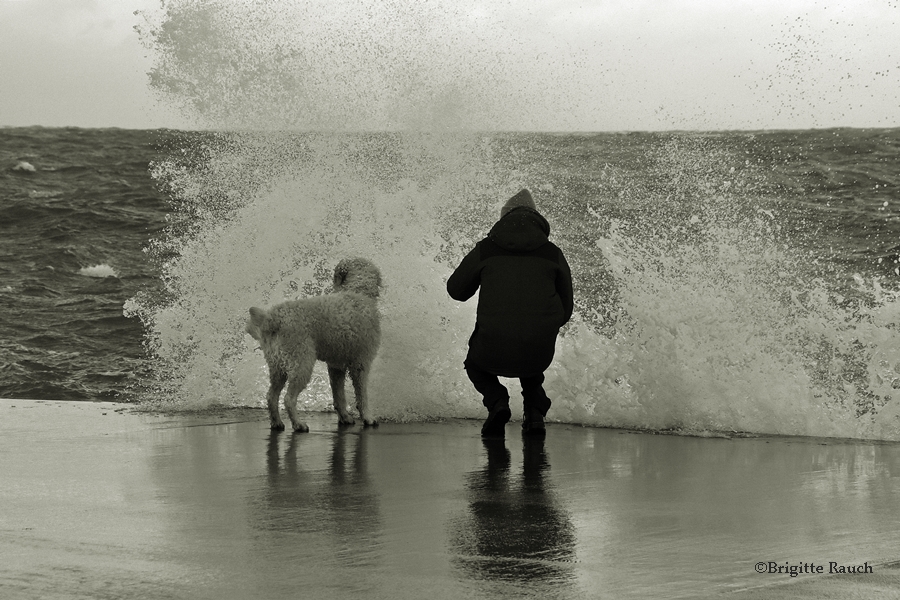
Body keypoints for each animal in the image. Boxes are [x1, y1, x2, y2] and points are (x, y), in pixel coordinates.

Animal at [246, 258, 384, 432]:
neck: (357, 292)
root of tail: (273, 319)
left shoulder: (336, 365)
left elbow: (339, 396)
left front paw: (344, 417)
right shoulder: (361, 364)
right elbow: (362, 395)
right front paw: (368, 417)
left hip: (277, 367)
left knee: (271, 396)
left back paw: (277, 423)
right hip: (301, 362)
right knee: (288, 398)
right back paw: (298, 424)